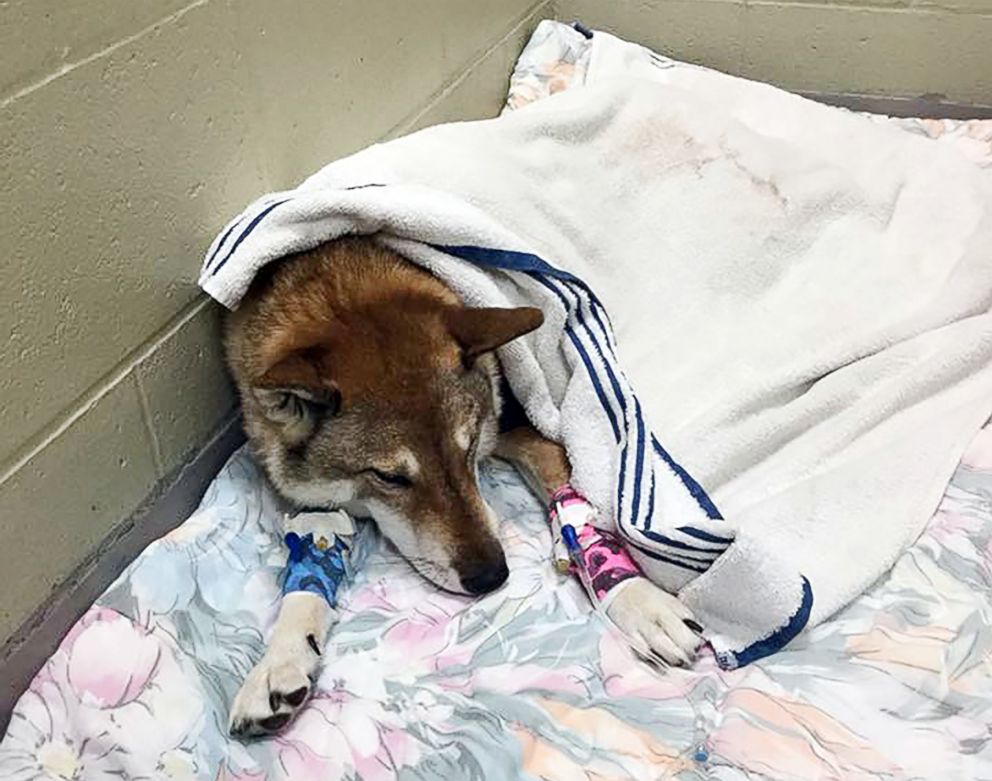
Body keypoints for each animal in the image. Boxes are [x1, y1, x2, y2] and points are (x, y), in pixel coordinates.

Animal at [227, 235, 704, 736]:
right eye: (390, 477)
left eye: (470, 445)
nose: (492, 577)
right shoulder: (313, 500)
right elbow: (310, 565)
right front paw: (280, 661)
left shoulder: (522, 425)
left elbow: (575, 507)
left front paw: (639, 600)